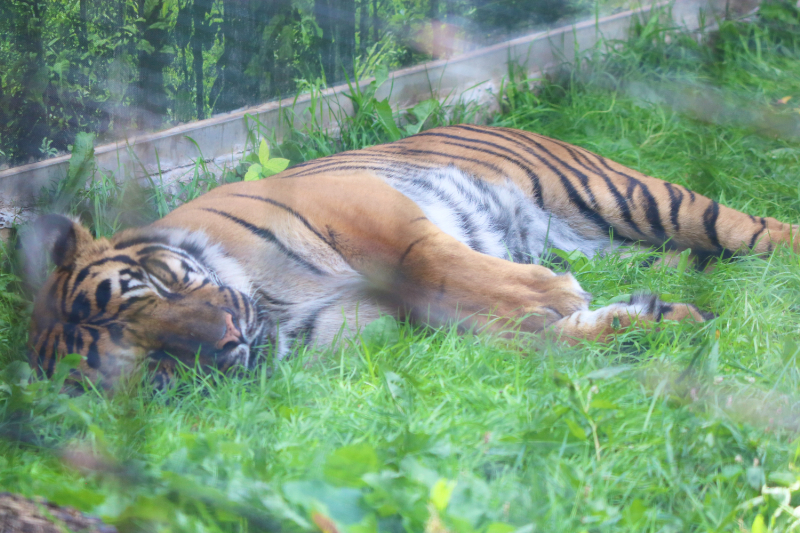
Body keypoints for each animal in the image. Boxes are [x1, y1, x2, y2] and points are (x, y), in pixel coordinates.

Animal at [25, 125, 800, 386]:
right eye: (153, 364)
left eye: (152, 285)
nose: (227, 340)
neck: (273, 306)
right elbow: (526, 337)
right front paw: (653, 320)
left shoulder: (359, 204)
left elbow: (433, 261)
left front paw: (551, 295)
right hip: (621, 238)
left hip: (629, 195)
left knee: (751, 229)